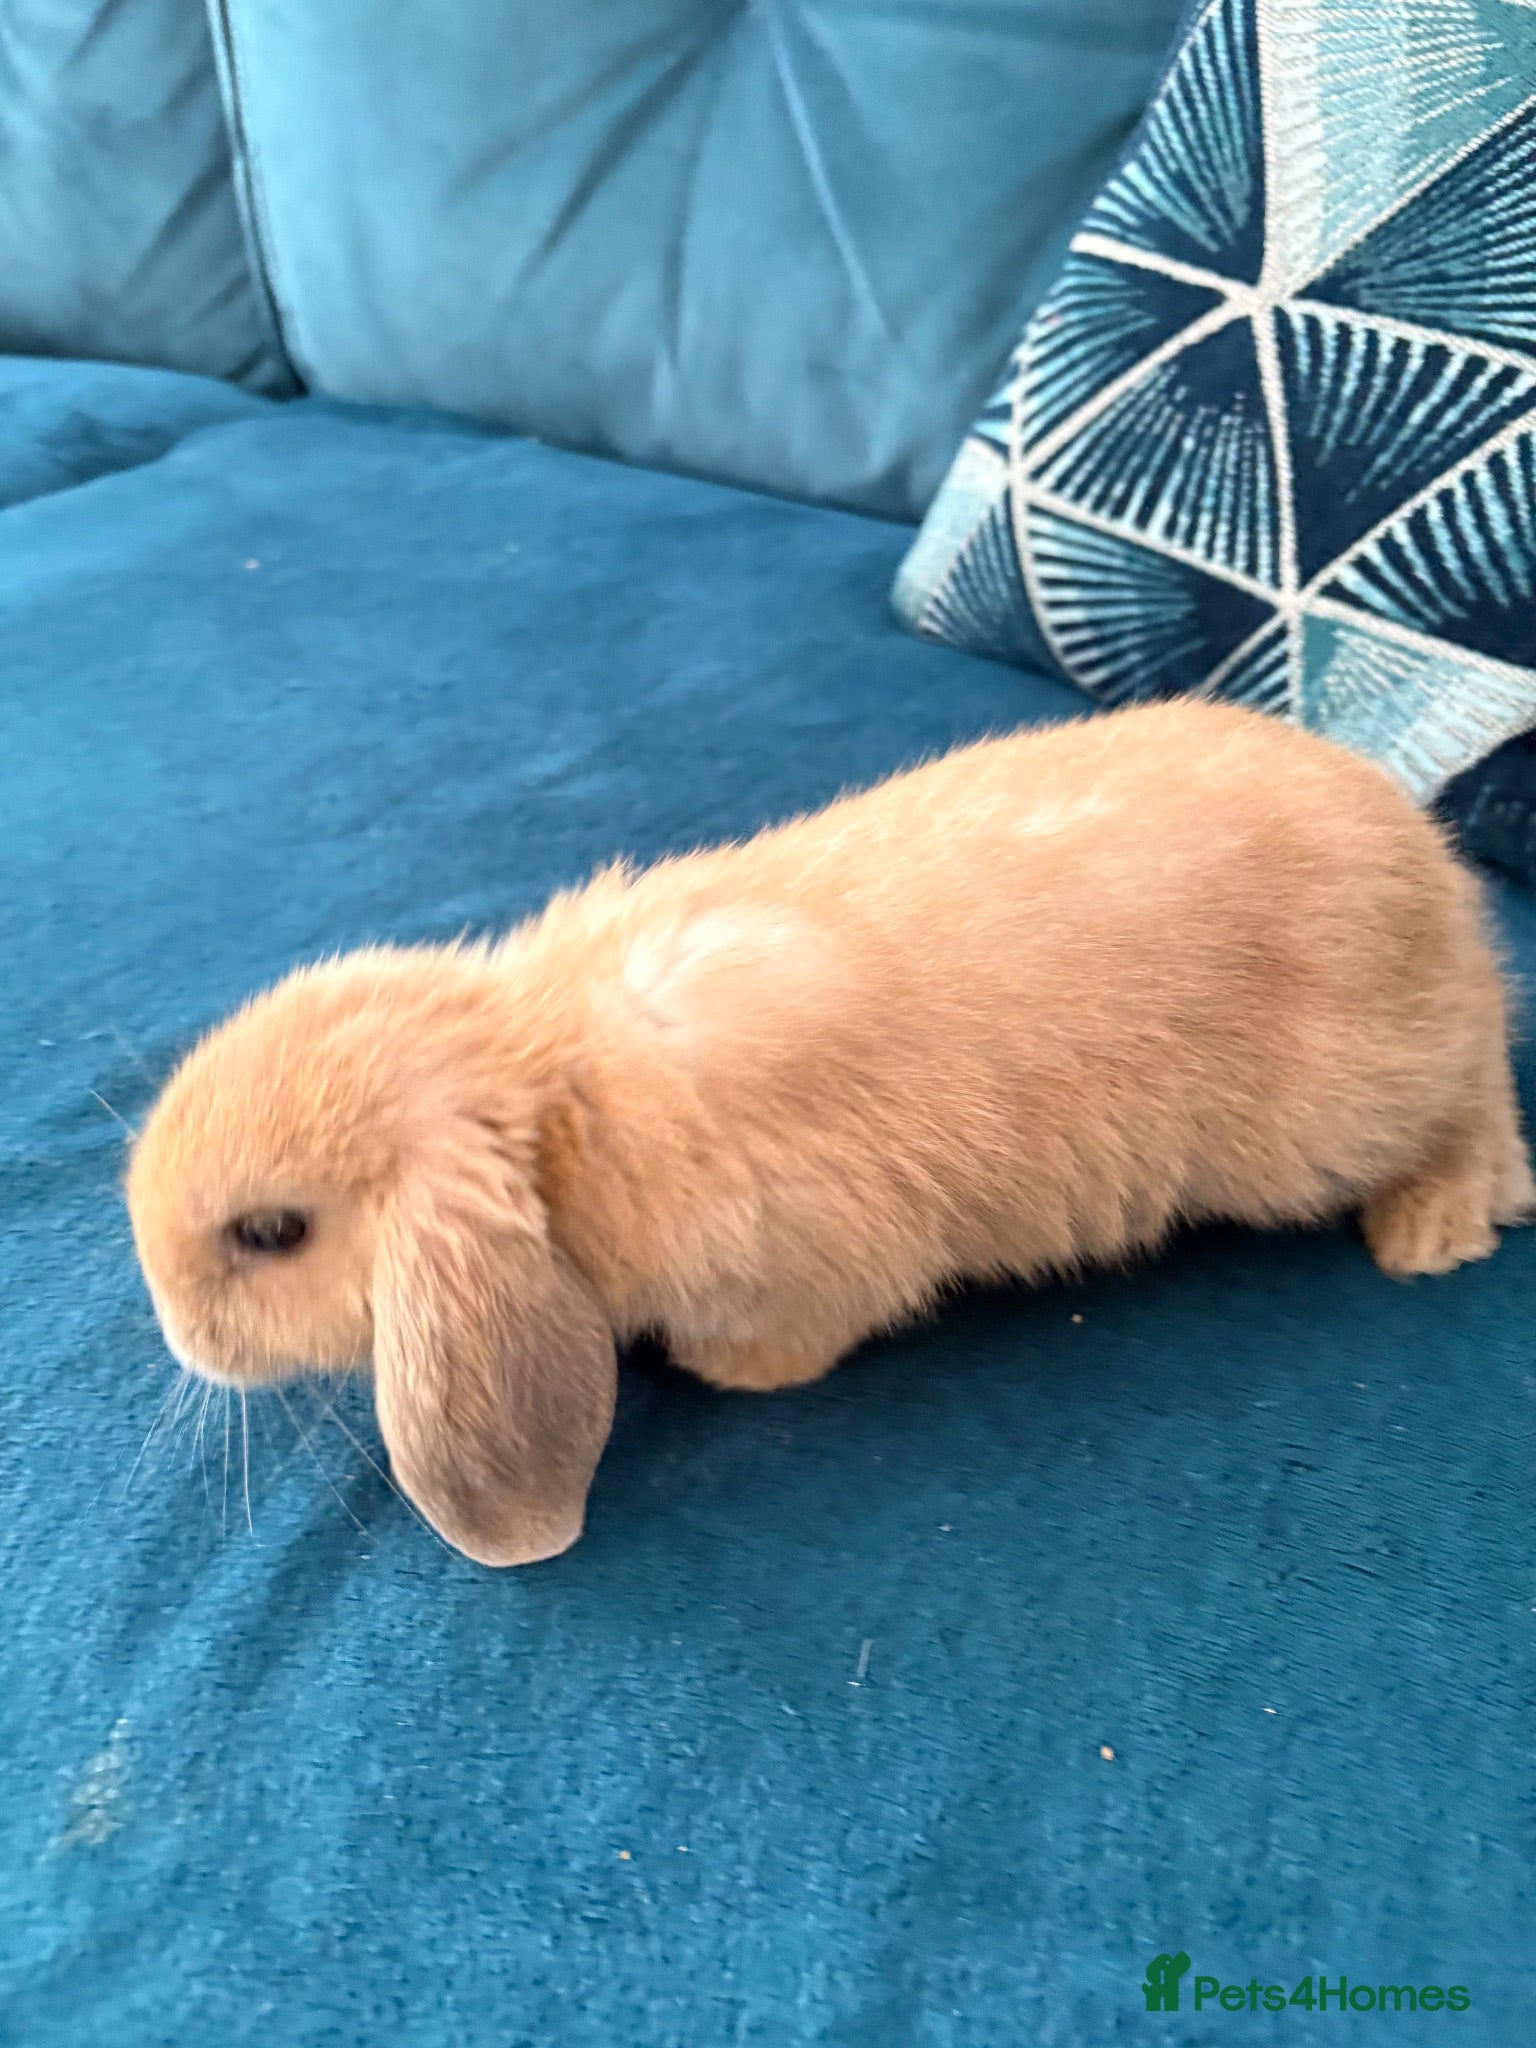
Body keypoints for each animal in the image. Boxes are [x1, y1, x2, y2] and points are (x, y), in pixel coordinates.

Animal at [126, 700, 1534, 1567]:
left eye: (271, 1231)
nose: (180, 1339)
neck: (556, 1102)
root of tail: (1428, 856)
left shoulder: (808, 1262)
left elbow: (794, 1337)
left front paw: (724, 1374)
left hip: (1337, 1112)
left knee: (1477, 1063)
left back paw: (1444, 1220)